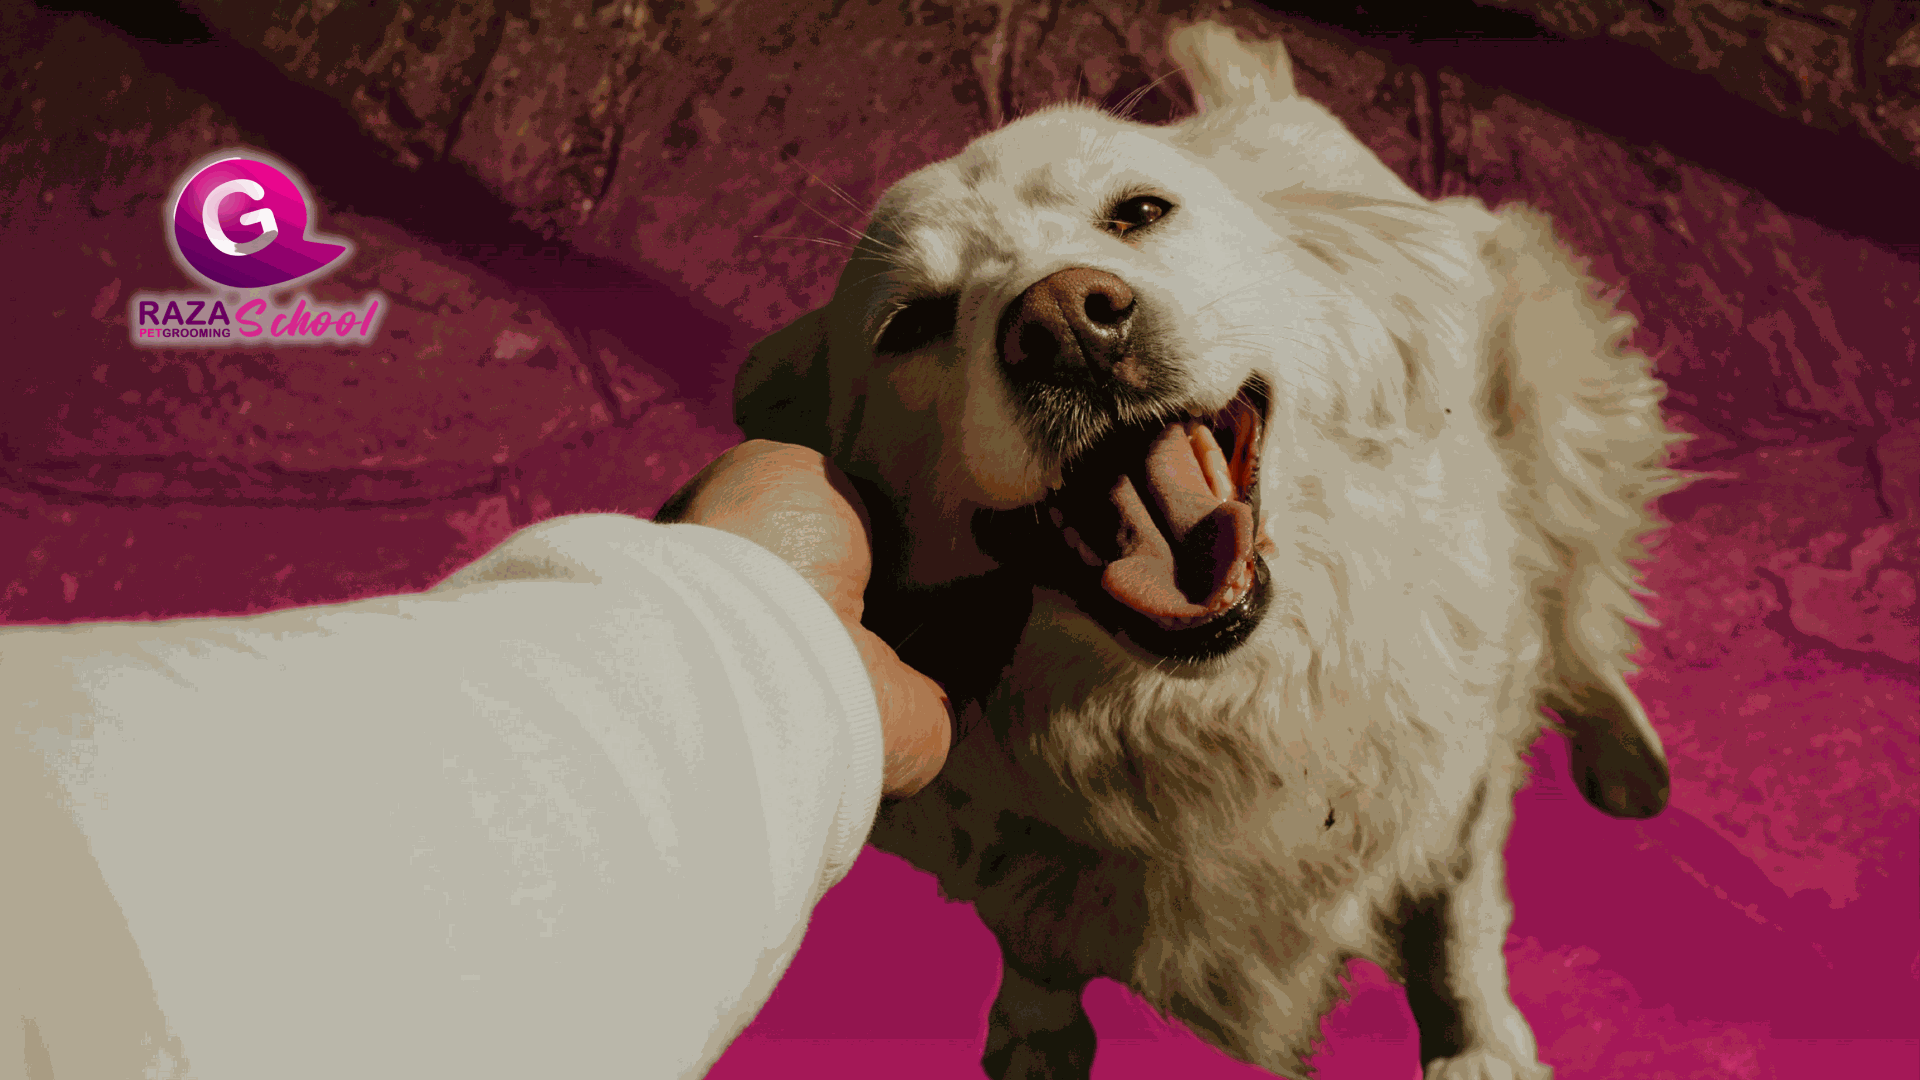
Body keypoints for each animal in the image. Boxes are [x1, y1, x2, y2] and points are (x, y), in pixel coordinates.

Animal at [732, 21, 1682, 1080]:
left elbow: (1454, 915)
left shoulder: (1459, 780)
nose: (1066, 321)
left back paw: (1623, 750)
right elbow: (1033, 943)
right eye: (912, 323)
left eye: (1140, 212)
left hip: (1555, 401)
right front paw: (1036, 1034)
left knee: (1581, 604)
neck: (1204, 707)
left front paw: (1475, 1047)